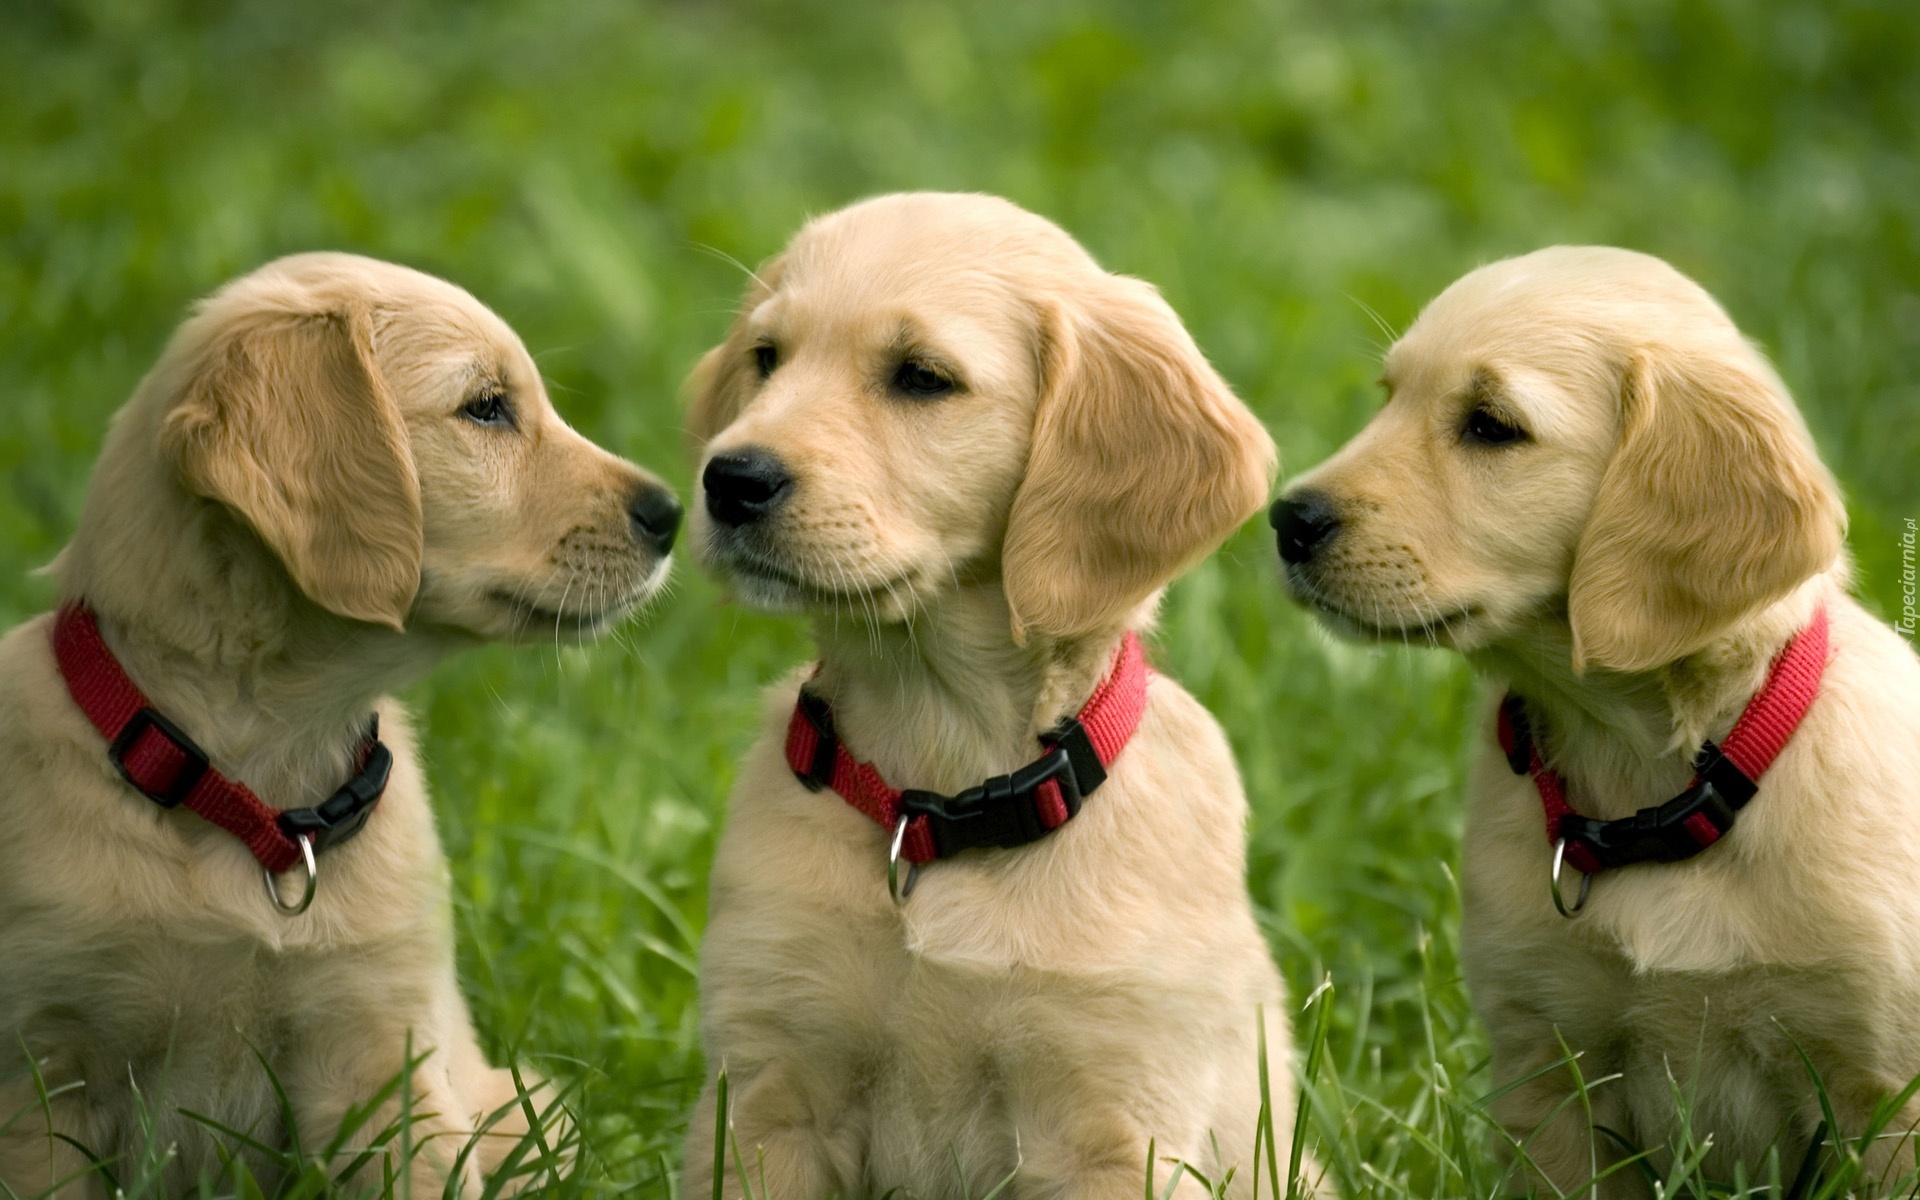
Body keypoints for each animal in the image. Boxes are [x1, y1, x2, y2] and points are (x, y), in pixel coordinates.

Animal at [0, 249, 683, 1190]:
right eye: (486, 407)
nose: (675, 515)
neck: (254, 792)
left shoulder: (383, 1058)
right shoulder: (42, 1078)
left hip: (526, 1112)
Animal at [675, 192, 1290, 1190]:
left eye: (922, 378)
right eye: (768, 357)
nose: (729, 479)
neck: (938, 799)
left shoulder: (1114, 1130)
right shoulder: (768, 1098)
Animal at [1274, 240, 1920, 1190]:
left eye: (1490, 425)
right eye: (1388, 398)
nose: (1286, 518)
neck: (1653, 786)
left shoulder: (1881, 1097)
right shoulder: (1549, 1066)